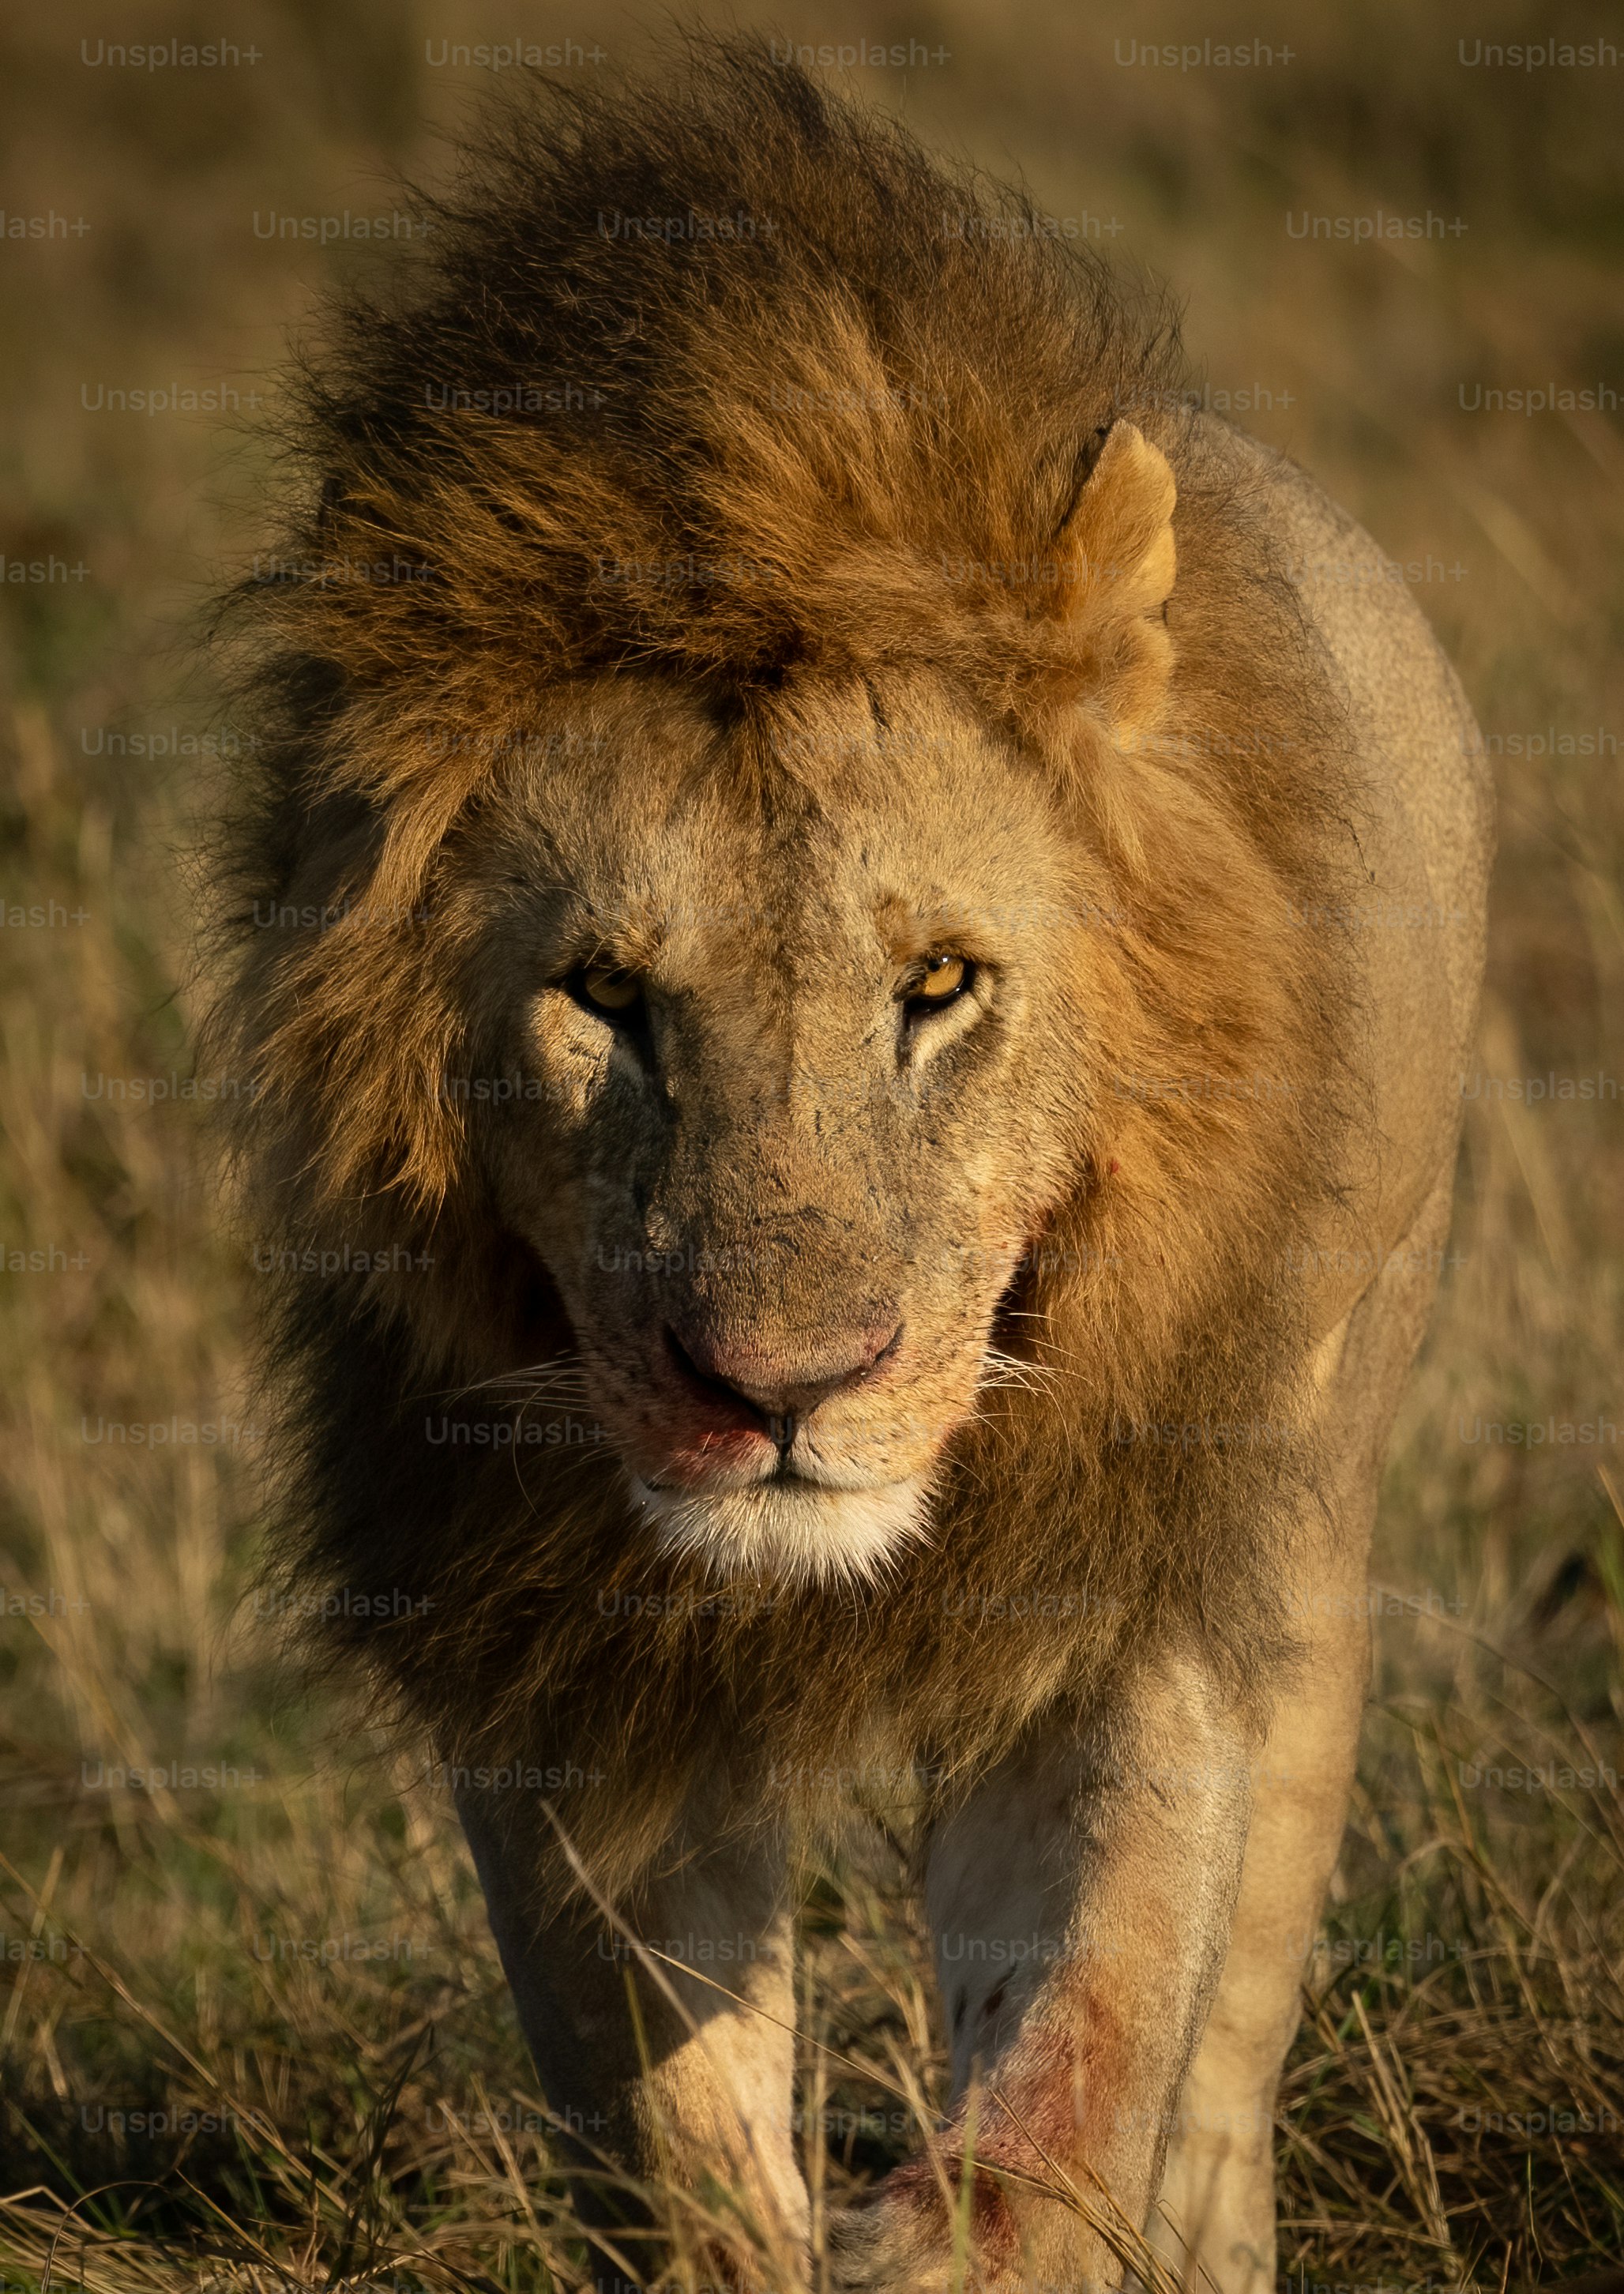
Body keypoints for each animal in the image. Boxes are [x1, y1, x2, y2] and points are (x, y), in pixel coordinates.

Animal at [214, 38, 1492, 2294]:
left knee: (1225, 2045)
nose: (781, 1396)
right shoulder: (554, 1651)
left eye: (939, 983)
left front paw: (970, 2224)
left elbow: (1092, 2018)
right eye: (603, 995)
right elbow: (671, 2117)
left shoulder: (1143, 1577)